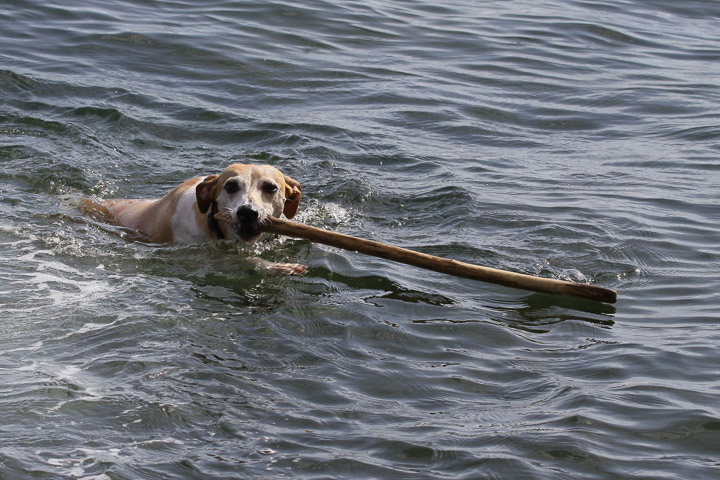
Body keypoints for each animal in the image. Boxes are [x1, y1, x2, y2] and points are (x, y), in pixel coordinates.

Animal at [86, 163, 306, 275]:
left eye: (271, 187)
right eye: (230, 186)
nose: (247, 212)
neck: (210, 221)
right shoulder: (191, 251)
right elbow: (239, 259)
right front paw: (274, 267)